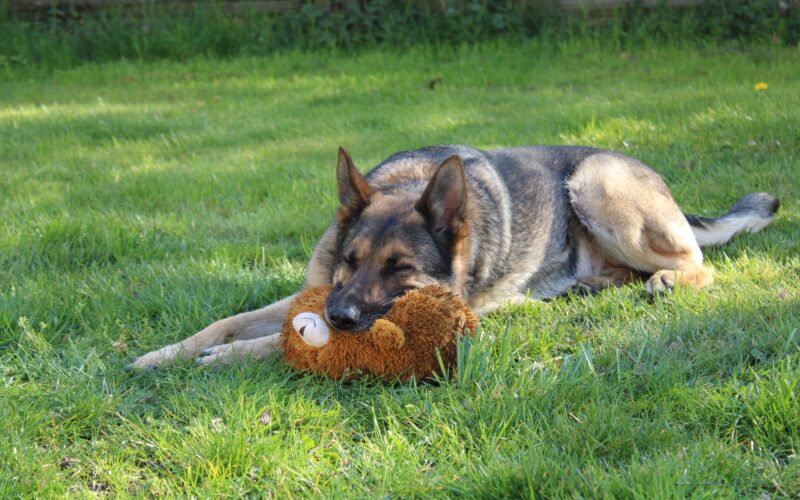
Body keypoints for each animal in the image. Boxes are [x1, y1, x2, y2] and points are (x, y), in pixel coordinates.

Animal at [130, 143, 776, 370]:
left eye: (400, 270)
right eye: (350, 260)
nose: (338, 315)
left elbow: (278, 339)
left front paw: (223, 357)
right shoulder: (309, 292)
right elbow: (226, 321)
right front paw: (162, 353)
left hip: (596, 184)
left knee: (699, 266)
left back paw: (665, 280)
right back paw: (589, 286)